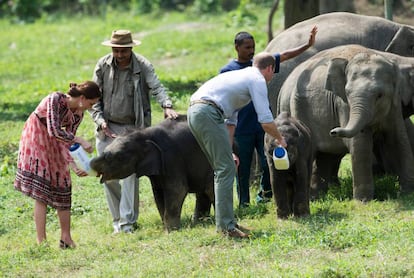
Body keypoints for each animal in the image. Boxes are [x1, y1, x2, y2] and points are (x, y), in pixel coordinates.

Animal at [276, 44, 414, 200]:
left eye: (380, 95)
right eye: (347, 94)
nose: (333, 131)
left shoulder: (394, 106)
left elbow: (398, 139)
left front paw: (407, 195)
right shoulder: (343, 105)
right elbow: (359, 143)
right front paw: (363, 202)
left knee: (325, 155)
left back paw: (317, 197)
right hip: (297, 110)